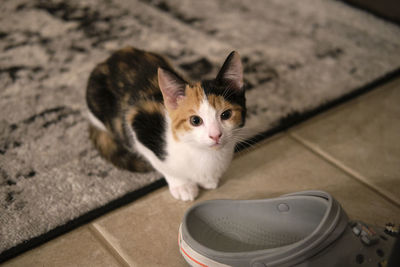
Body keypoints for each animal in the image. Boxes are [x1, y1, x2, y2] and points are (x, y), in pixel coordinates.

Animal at [86, 47, 245, 201]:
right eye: (195, 120)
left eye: (226, 114)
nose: (215, 135)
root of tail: (108, 59)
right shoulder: (138, 121)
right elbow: (161, 164)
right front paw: (182, 185)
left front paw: (208, 180)